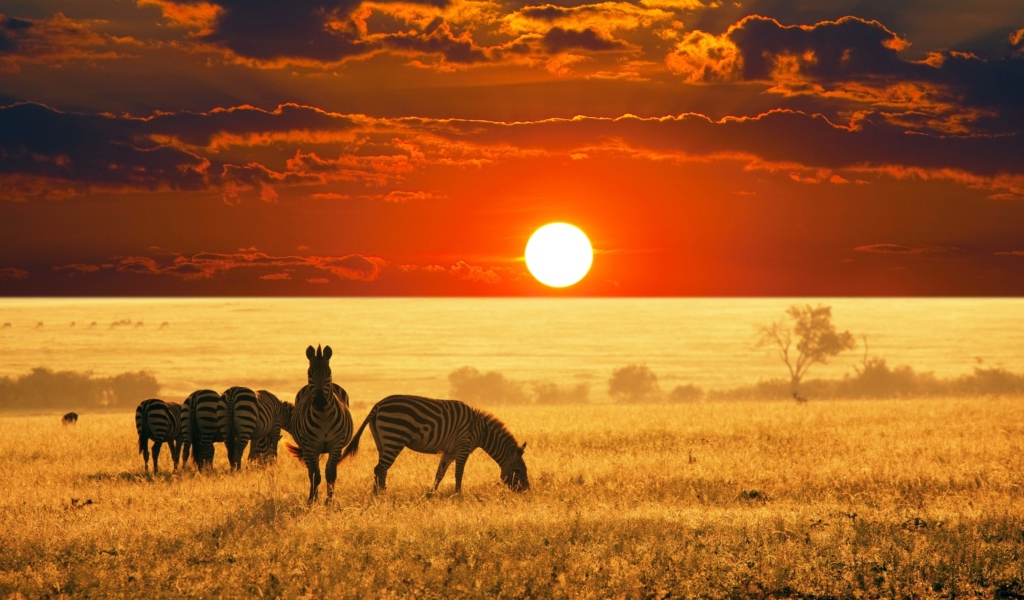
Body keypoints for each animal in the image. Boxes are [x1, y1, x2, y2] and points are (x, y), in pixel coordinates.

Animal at [286, 344, 354, 501]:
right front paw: (313, 500)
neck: (323, 417)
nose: (320, 402)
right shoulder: (311, 447)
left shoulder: (336, 446)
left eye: (329, 373)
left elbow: (330, 474)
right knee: (311, 472)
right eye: (309, 374)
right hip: (307, 449)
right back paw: (312, 496)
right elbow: (316, 476)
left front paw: (329, 502)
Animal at [342, 393, 532, 491]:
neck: (481, 431)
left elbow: (439, 474)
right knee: (381, 468)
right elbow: (458, 474)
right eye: (518, 470)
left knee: (380, 469)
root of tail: (378, 405)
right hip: (395, 437)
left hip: (382, 442)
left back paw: (377, 495)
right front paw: (458, 496)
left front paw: (430, 494)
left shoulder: (450, 452)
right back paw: (382, 495)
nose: (526, 491)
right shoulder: (463, 447)